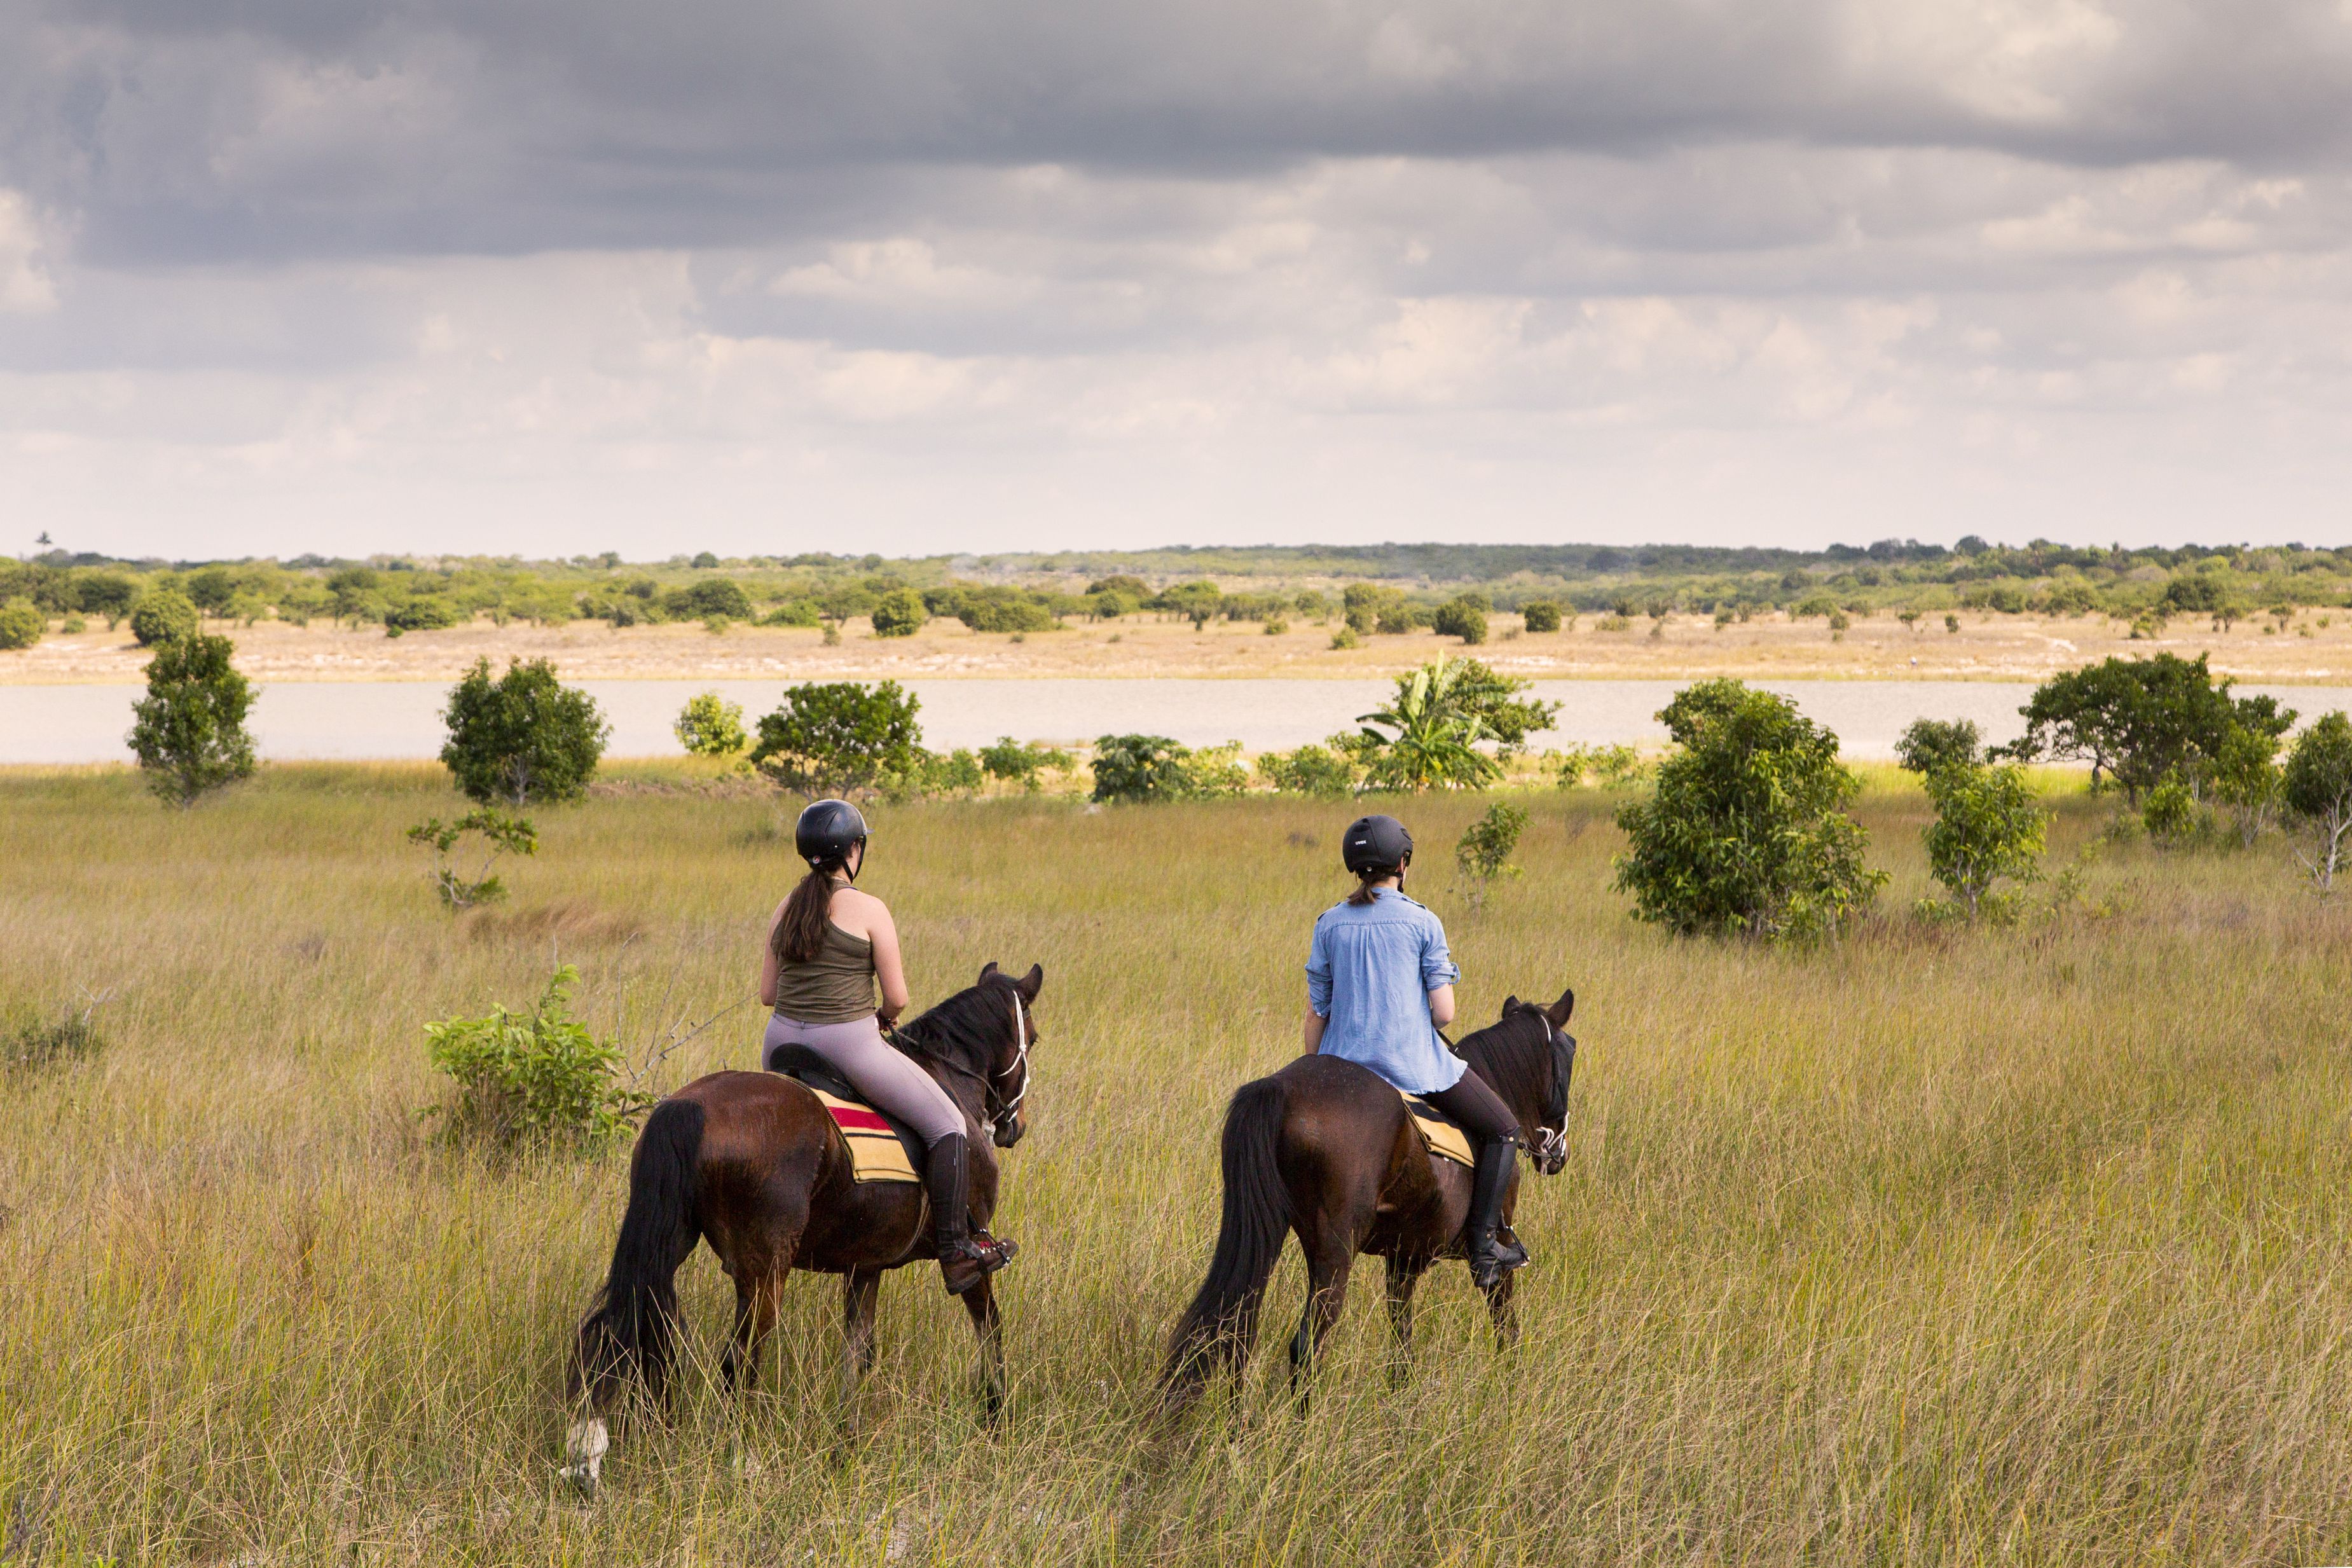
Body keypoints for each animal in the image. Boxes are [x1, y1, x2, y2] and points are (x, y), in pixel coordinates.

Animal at [560, 963, 1039, 1495]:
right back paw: (742, 1461)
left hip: (671, 1247)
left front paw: (845, 1444)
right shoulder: (973, 1252)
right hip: (765, 1272)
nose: (1014, 1128)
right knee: (739, 1363)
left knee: (643, 1333)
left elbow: (858, 1353)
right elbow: (989, 1329)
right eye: (1032, 1038)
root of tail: (689, 1106)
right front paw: (996, 1418)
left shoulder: (865, 1265)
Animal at [1162, 987, 1580, 1420]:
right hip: (1334, 1252)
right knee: (1306, 1345)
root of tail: (1282, 1088)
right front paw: (1510, 1384)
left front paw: (1403, 1406)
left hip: (1267, 1234)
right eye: (1569, 1052)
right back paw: (1302, 1429)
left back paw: (1237, 1428)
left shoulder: (1404, 1259)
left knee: (1238, 1334)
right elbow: (1505, 1324)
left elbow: (1401, 1341)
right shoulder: (1496, 1249)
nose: (1558, 1155)